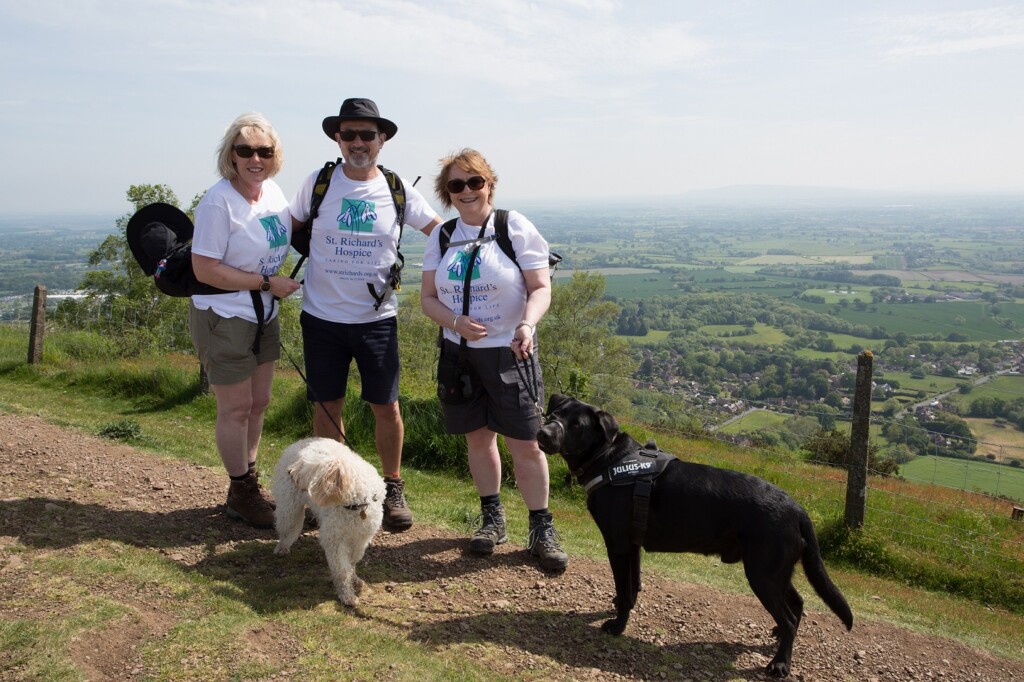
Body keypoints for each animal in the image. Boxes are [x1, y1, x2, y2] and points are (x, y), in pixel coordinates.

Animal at [272, 436, 385, 602]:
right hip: (289, 509)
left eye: (305, 465)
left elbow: (351, 563)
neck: (355, 505)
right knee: (285, 530)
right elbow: (342, 570)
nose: (290, 471)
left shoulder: (360, 540)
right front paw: (346, 595)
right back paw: (282, 548)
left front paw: (354, 579)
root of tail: (298, 443)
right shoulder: (335, 541)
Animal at [536, 393, 856, 675]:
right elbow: (633, 586)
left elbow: (625, 590)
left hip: (762, 573)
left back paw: (780, 664)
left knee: (790, 616)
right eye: (554, 414)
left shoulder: (618, 545)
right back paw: (779, 638)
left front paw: (617, 626)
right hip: (775, 571)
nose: (543, 433)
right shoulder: (633, 546)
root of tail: (798, 509)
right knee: (798, 604)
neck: (609, 458)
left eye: (577, 426)